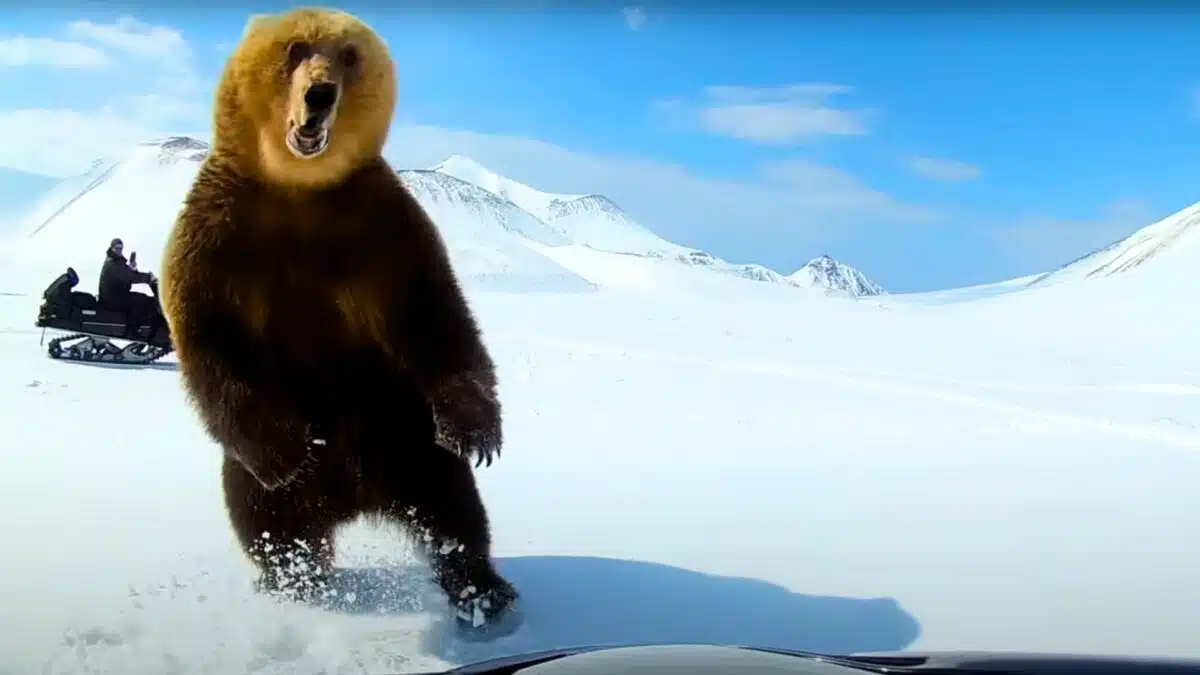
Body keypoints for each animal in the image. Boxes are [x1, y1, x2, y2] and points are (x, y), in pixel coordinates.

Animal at [157, 5, 518, 629]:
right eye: (296, 48)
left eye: (350, 55)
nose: (321, 94)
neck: (299, 191)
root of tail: (356, 500)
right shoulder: (219, 231)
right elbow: (210, 334)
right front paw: (286, 454)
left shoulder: (380, 226)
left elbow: (434, 316)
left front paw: (478, 430)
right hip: (281, 467)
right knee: (268, 519)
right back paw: (296, 581)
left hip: (400, 428)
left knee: (451, 502)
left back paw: (481, 589)